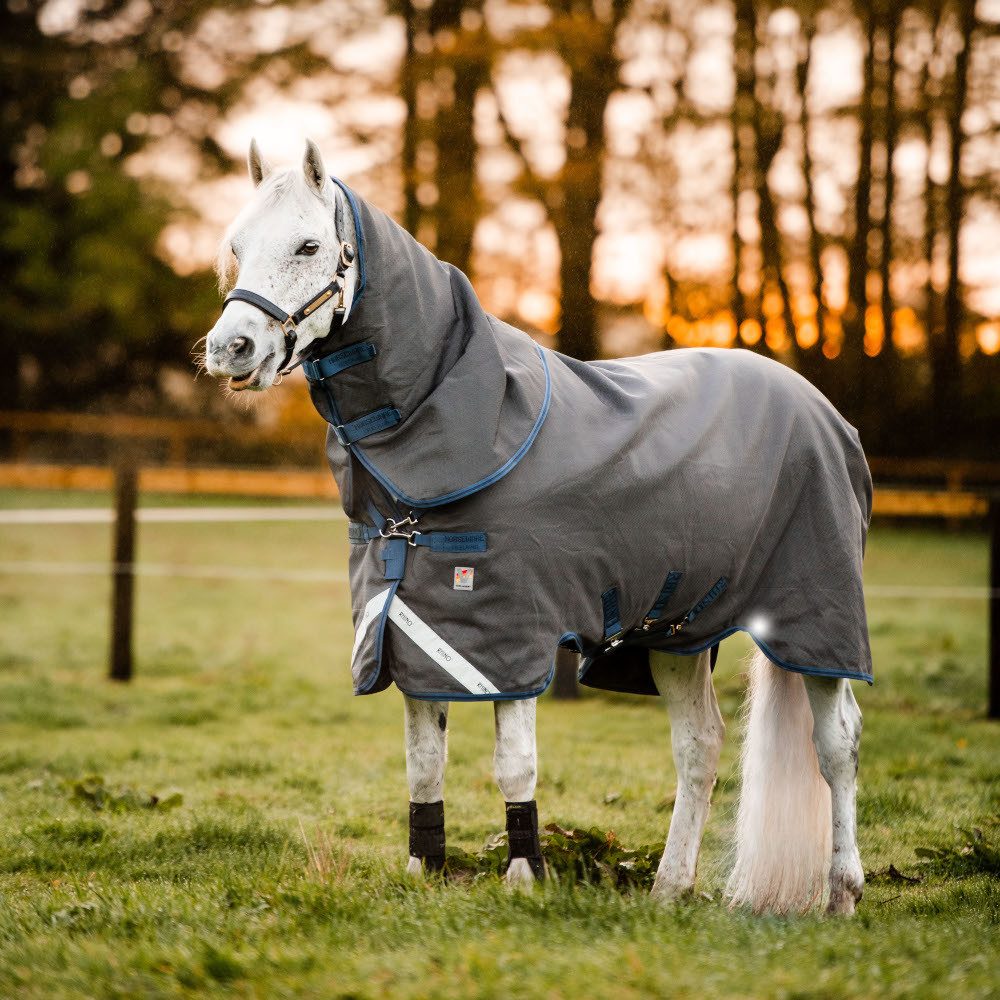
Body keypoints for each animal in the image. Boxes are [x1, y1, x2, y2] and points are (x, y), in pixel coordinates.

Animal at [203, 139, 869, 915]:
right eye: (237, 247)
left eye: (309, 246)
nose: (230, 349)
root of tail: (823, 412)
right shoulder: (414, 632)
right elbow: (423, 762)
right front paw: (422, 869)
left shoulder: (508, 635)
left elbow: (514, 764)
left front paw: (524, 877)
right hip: (677, 631)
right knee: (701, 745)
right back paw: (669, 888)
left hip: (814, 623)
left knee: (837, 745)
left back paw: (840, 893)